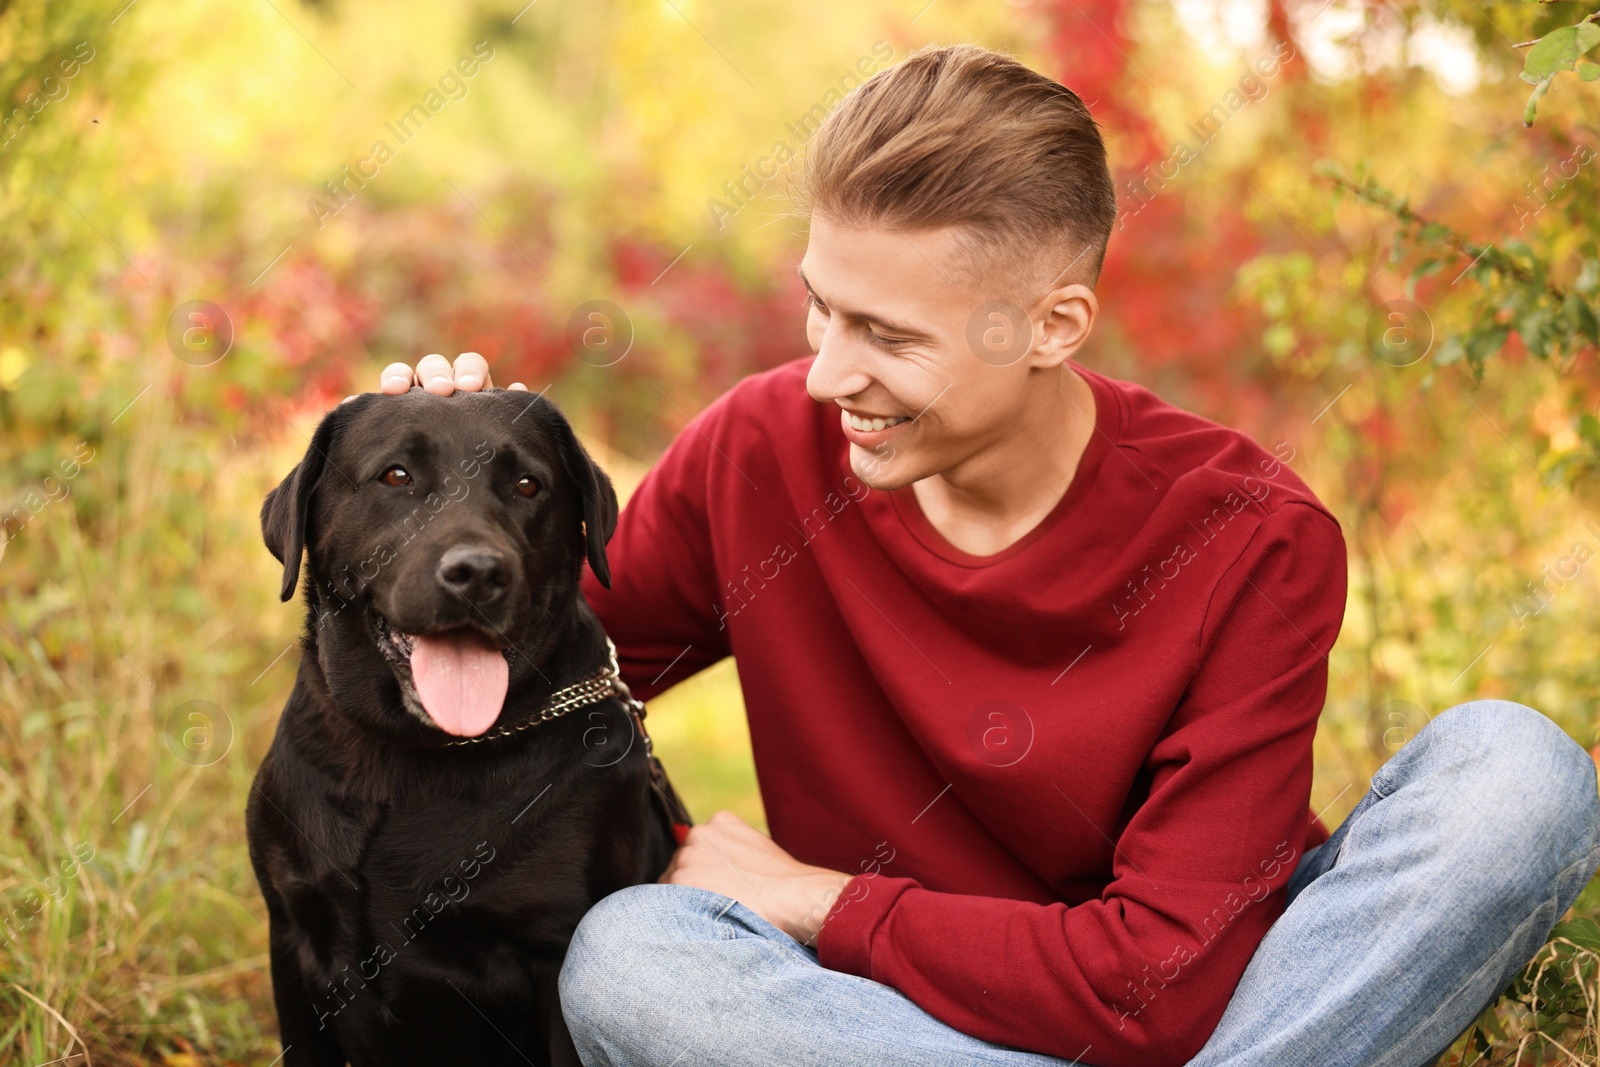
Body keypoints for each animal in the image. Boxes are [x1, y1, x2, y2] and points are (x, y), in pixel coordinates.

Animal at [248, 390, 688, 1067]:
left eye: (528, 485)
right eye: (396, 476)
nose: (479, 572)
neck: (407, 754)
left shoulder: (555, 959)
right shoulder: (291, 937)